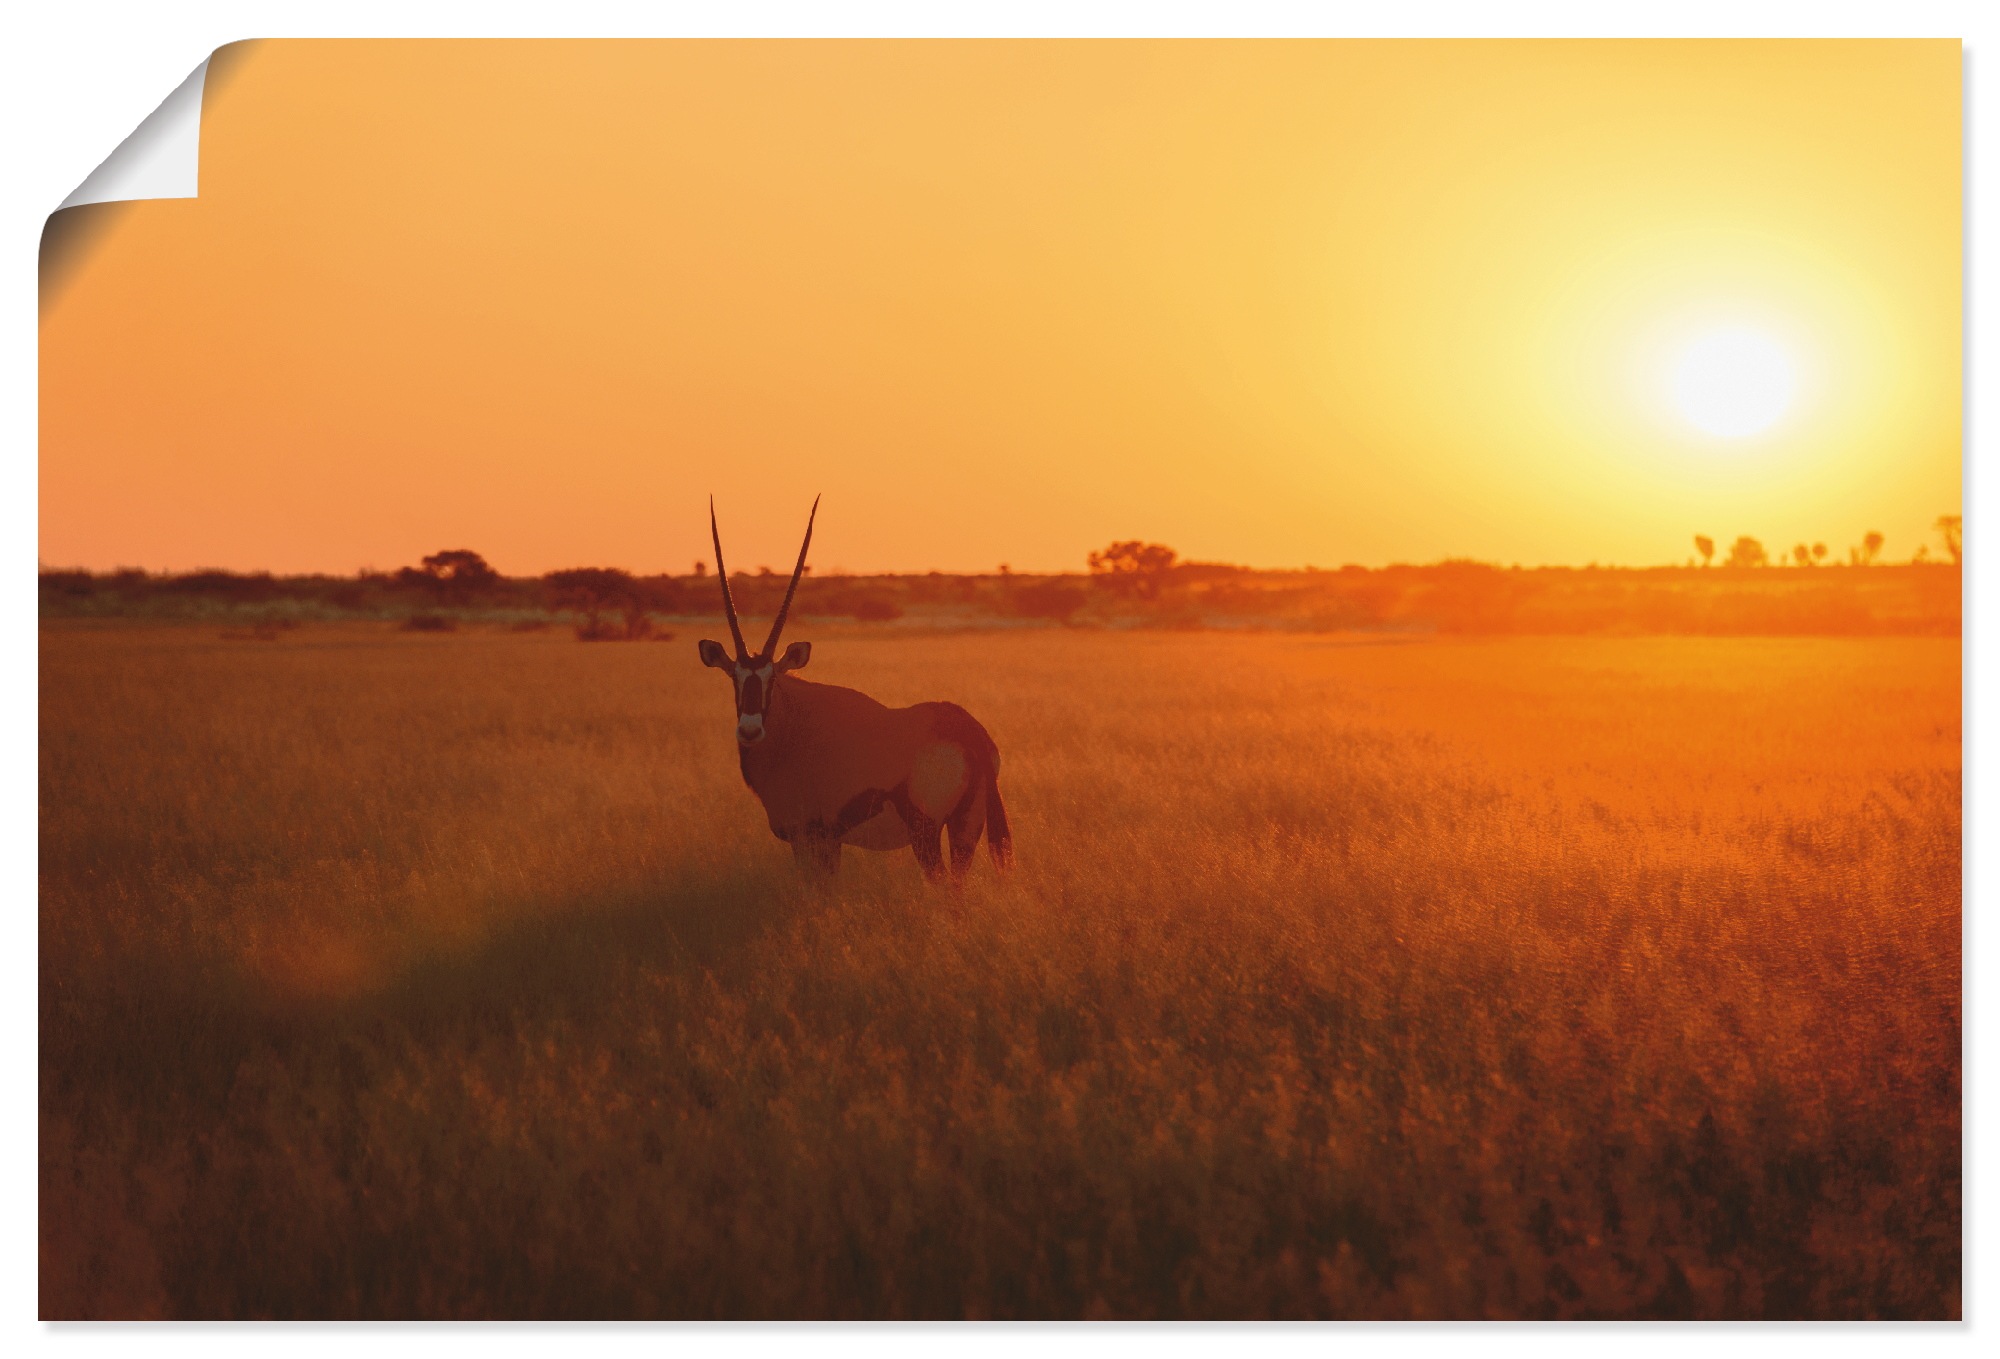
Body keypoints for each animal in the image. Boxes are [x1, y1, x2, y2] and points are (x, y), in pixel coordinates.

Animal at [704, 499, 1016, 879]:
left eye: (772, 678)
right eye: (734, 676)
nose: (749, 729)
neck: (792, 727)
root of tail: (969, 734)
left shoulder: (812, 835)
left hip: (925, 832)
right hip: (965, 828)